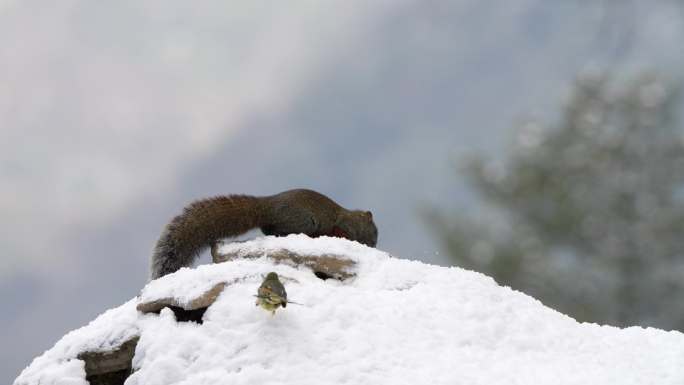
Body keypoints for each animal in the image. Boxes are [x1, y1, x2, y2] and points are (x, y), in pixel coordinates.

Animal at [150, 188, 376, 278]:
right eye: (374, 232)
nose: (374, 245)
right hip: (302, 221)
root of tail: (267, 207)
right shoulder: (344, 225)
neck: (354, 219)